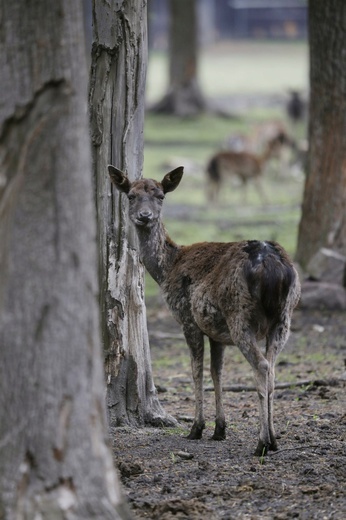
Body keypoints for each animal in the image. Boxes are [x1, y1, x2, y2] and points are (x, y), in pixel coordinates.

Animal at [108, 164, 300, 456]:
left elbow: (196, 370)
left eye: (160, 196)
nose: (145, 216)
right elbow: (216, 372)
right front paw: (219, 429)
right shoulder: (216, 332)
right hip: (283, 318)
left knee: (263, 366)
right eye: (131, 195)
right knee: (273, 370)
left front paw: (196, 428)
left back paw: (261, 442)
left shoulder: (187, 318)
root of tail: (273, 267)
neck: (168, 269)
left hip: (240, 315)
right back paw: (275, 439)